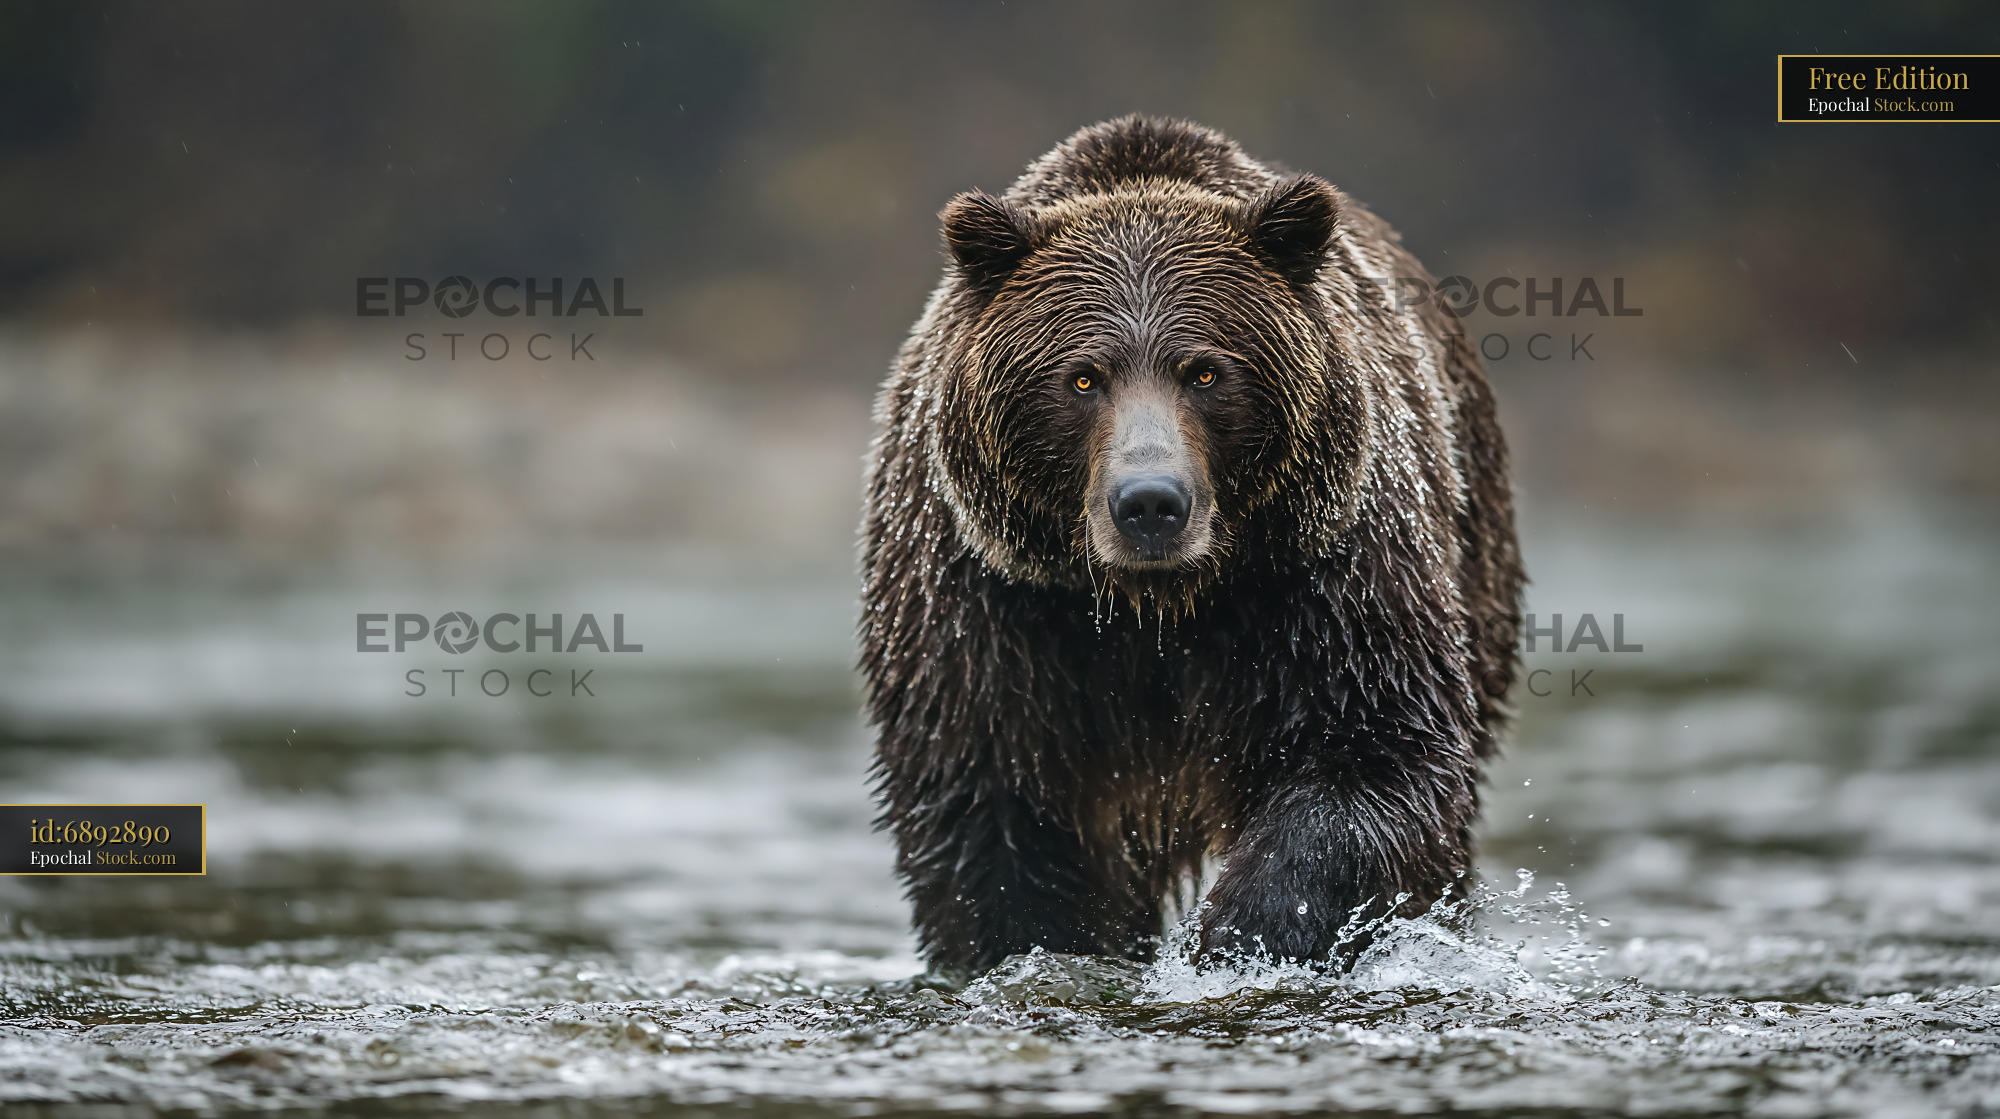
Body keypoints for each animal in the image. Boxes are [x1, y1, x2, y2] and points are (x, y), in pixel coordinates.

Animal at [860, 116, 1523, 977]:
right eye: (1083, 377)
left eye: (1205, 371)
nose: (1150, 503)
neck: (1158, 605)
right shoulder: (992, 606)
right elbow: (993, 808)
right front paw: (1037, 943)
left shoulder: (1323, 575)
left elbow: (1368, 752)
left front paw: (1239, 934)